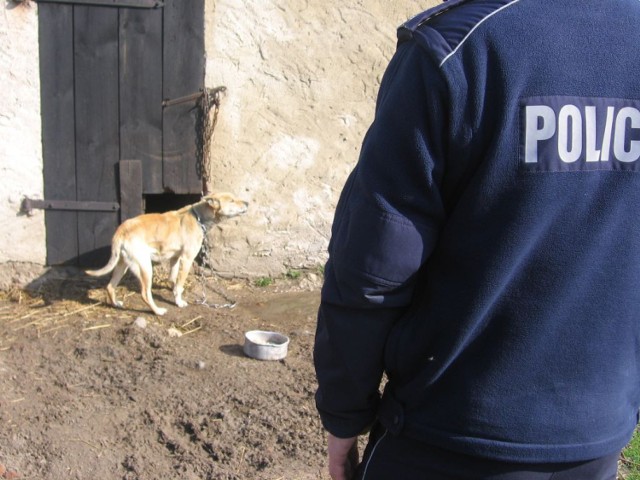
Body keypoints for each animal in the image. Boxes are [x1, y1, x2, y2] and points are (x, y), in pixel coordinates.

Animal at [87, 191, 250, 316]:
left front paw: (173, 291)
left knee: (110, 286)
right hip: (145, 267)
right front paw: (179, 302)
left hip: (122, 264)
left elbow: (173, 279)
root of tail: (121, 230)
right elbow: (180, 284)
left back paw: (116, 304)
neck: (198, 218)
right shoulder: (187, 259)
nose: (248, 203)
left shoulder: (175, 258)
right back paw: (158, 311)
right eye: (232, 200)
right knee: (145, 294)